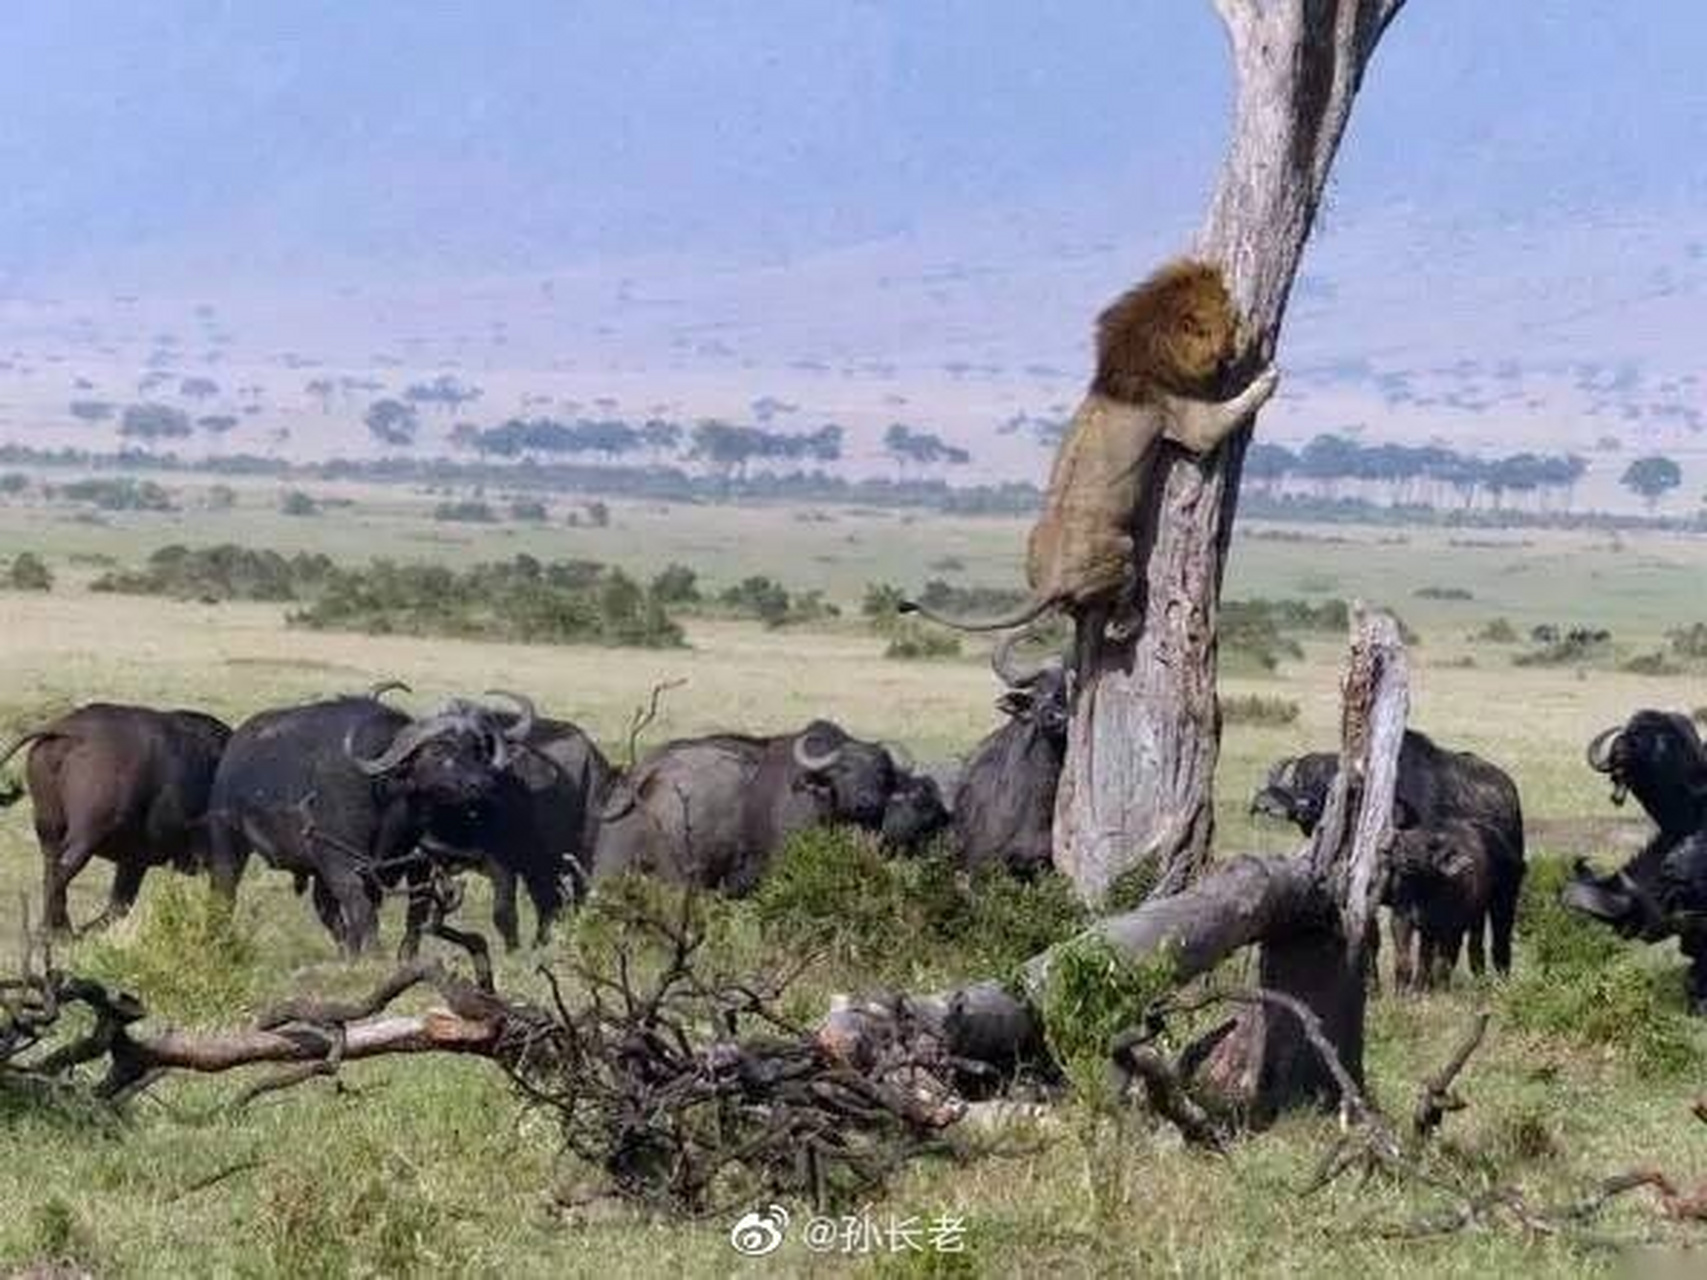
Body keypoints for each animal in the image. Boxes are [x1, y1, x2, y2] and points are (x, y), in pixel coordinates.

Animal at [901, 258, 1278, 638]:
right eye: (1228, 312)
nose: (1244, 316)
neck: (1146, 353)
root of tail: (1049, 582)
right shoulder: (1185, 416)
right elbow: (1229, 412)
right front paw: (1265, 370)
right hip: (1120, 552)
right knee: (1118, 608)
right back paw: (1129, 622)